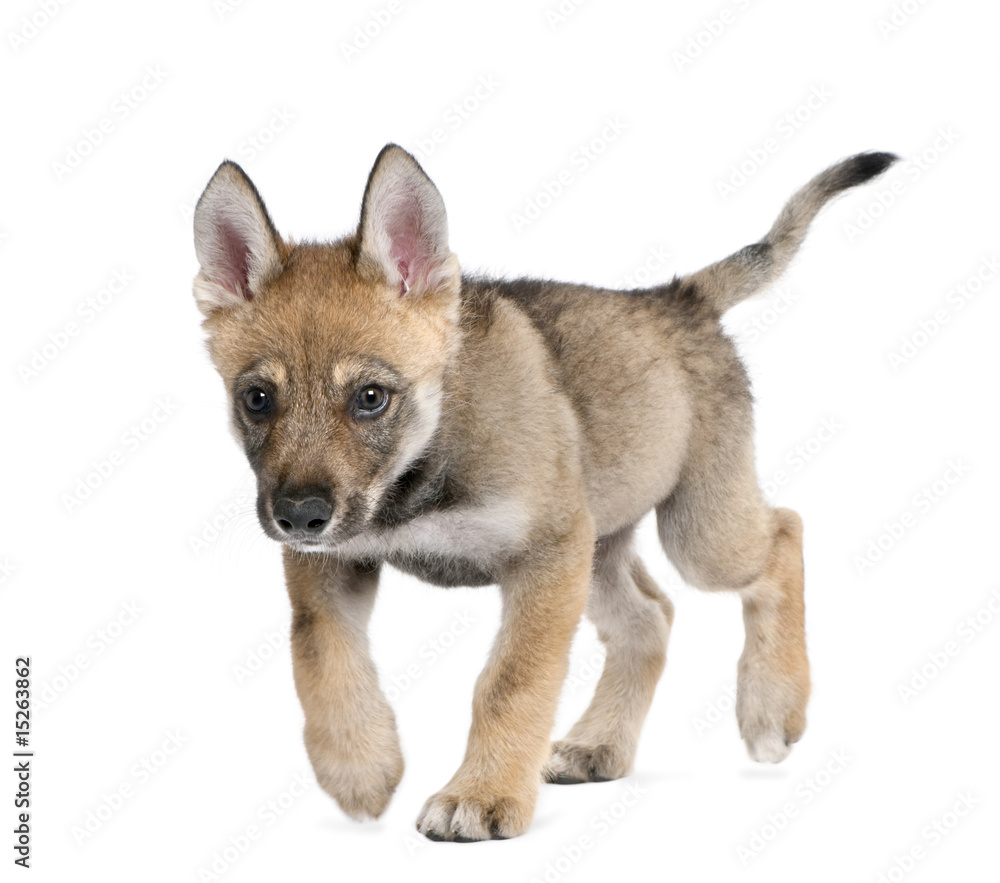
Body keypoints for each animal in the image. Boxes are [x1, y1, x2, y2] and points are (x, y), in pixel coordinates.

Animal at [192, 144, 896, 841]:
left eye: (370, 398)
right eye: (257, 399)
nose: (298, 517)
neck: (420, 468)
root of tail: (678, 297)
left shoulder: (545, 558)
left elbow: (510, 682)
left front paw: (481, 794)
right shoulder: (332, 568)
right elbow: (321, 660)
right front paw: (360, 768)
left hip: (697, 536)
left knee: (785, 532)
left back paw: (773, 706)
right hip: (602, 547)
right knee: (651, 617)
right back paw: (599, 746)